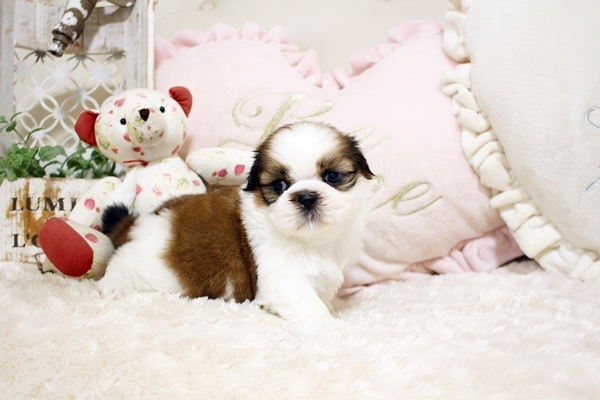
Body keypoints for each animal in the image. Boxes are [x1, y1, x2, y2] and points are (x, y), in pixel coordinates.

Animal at [98, 121, 374, 323]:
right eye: (279, 185)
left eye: (333, 177)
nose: (306, 197)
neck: (314, 239)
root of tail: (139, 221)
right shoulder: (282, 277)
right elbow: (309, 305)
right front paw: (331, 327)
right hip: (153, 268)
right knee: (121, 262)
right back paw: (112, 285)